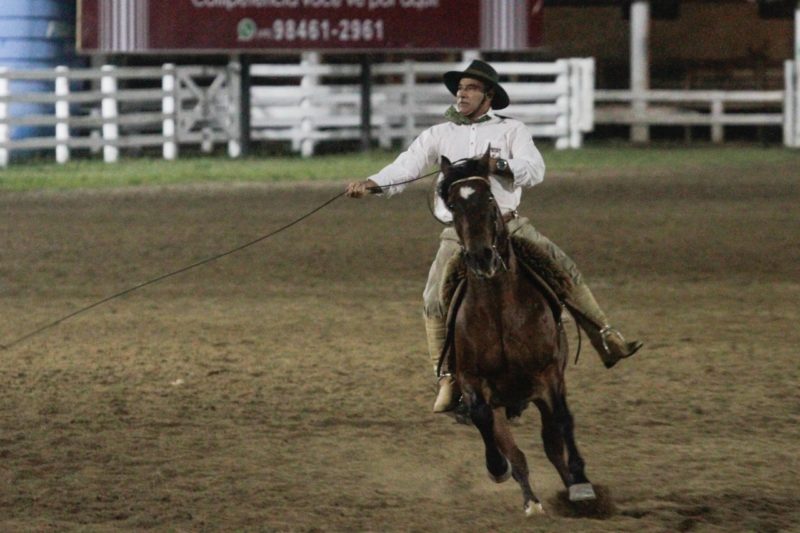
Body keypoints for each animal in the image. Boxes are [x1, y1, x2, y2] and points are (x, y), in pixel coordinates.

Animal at [438, 150, 592, 516]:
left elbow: (564, 420)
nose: (481, 257)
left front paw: (581, 483)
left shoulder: (549, 375)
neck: (498, 310)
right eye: (453, 205)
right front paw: (498, 469)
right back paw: (532, 500)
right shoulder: (474, 382)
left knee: (553, 444)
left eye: (490, 198)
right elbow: (485, 423)